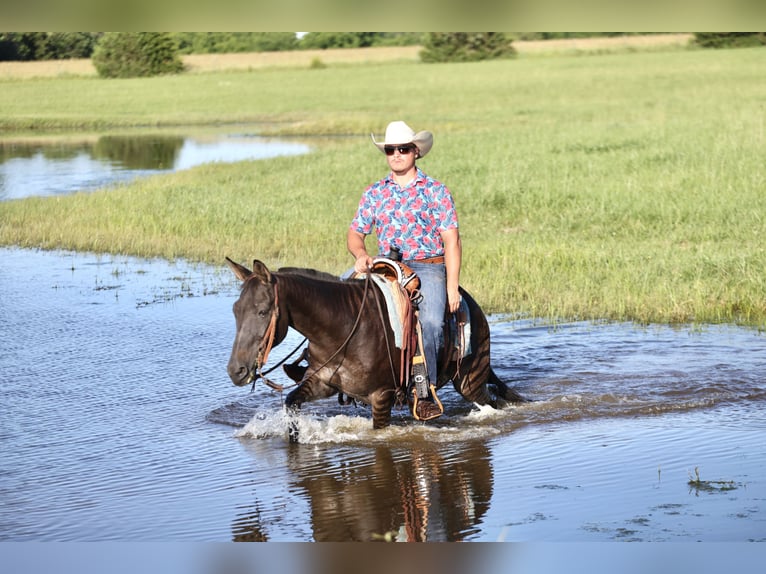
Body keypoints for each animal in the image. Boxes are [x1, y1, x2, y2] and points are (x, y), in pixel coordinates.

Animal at [226, 258, 528, 430]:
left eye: (263, 311)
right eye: (236, 310)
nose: (236, 371)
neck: (342, 328)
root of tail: (472, 306)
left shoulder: (381, 397)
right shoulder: (321, 383)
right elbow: (291, 402)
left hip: (470, 380)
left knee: (491, 401)